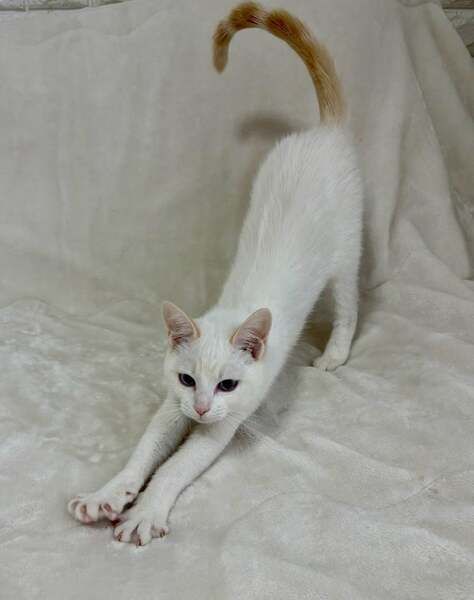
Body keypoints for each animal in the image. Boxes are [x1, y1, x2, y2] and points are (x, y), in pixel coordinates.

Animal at [68, 1, 363, 546]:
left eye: (227, 385)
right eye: (188, 379)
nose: (202, 407)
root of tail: (324, 132)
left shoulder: (225, 424)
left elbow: (173, 468)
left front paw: (145, 510)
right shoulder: (172, 404)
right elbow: (144, 451)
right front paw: (109, 494)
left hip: (346, 255)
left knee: (350, 305)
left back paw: (335, 353)